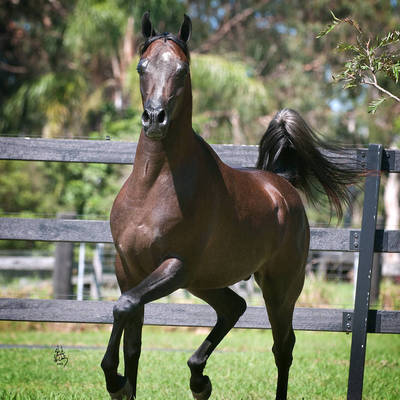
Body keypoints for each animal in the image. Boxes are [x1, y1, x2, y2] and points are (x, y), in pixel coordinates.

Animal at [101, 12, 357, 400]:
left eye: (183, 69)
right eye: (141, 67)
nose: (155, 118)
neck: (153, 187)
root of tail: (281, 184)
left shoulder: (175, 266)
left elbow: (124, 306)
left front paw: (113, 379)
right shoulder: (127, 267)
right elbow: (132, 338)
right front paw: (121, 383)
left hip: (279, 287)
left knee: (283, 347)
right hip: (204, 281)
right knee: (234, 307)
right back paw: (199, 379)